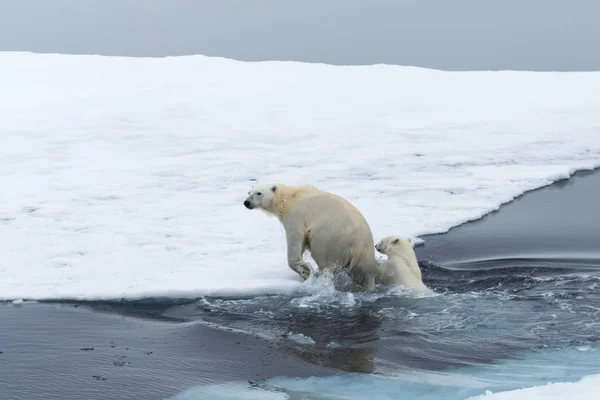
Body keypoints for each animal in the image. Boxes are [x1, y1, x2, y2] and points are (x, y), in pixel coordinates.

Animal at [243, 182, 376, 290]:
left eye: (259, 193)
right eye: (249, 192)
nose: (246, 202)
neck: (290, 198)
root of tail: (360, 248)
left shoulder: (296, 214)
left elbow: (295, 238)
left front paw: (304, 270)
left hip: (330, 239)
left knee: (323, 258)